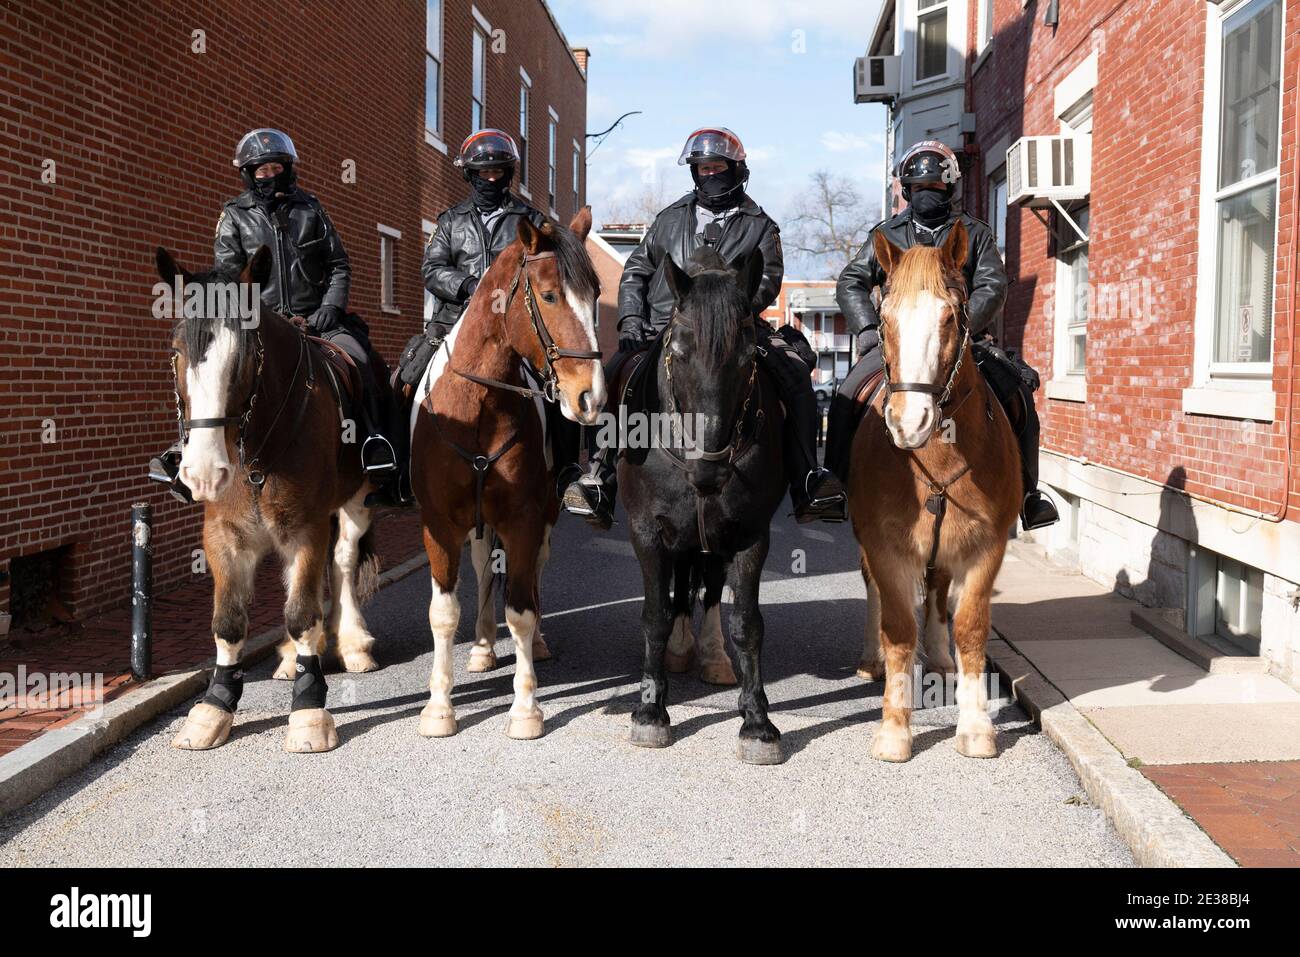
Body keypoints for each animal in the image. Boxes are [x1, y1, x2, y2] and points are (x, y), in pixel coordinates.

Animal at [159, 247, 379, 754]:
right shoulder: (223, 536)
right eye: (177, 352)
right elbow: (228, 622)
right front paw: (215, 706)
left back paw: (352, 643)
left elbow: (302, 614)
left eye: (243, 356)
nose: (202, 471)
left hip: (356, 501)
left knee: (342, 560)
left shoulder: (305, 528)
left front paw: (309, 708)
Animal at [410, 213, 603, 743]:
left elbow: (520, 610)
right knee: (481, 567)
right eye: (551, 295)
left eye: (597, 294)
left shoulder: (523, 518)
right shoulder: (440, 524)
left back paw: (535, 644)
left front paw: (525, 708)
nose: (590, 396)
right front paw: (439, 708)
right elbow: (442, 613)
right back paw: (480, 647)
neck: (477, 404)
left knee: (533, 571)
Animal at [621, 250, 790, 764]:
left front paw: (757, 722)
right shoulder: (647, 531)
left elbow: (747, 624)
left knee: (710, 589)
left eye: (749, 357)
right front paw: (650, 711)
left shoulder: (750, 534)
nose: (709, 473)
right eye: (677, 352)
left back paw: (712, 656)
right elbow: (655, 615)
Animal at [852, 222, 1024, 764]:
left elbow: (968, 626)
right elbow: (898, 628)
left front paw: (976, 726)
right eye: (884, 318)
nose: (909, 422)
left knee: (937, 591)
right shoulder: (886, 545)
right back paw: (871, 660)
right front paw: (894, 728)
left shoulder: (986, 546)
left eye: (952, 315)